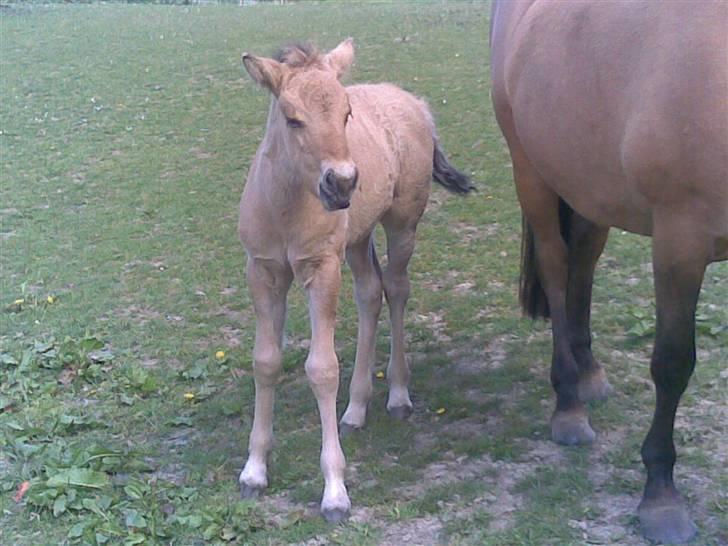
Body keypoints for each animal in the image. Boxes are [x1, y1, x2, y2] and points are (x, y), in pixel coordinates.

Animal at [237, 40, 472, 520]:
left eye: (346, 114)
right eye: (292, 118)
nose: (342, 182)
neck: (286, 208)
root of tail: (416, 103)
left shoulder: (321, 268)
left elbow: (322, 368)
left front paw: (334, 491)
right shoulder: (264, 271)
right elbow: (266, 361)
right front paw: (254, 470)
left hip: (401, 224)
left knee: (397, 289)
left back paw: (397, 394)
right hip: (357, 238)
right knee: (370, 293)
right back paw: (356, 408)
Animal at [492, 2, 724, 540]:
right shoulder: (680, 241)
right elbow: (673, 363)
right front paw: (660, 494)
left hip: (588, 183)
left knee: (584, 260)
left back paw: (588, 371)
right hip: (531, 170)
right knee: (557, 269)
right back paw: (568, 404)